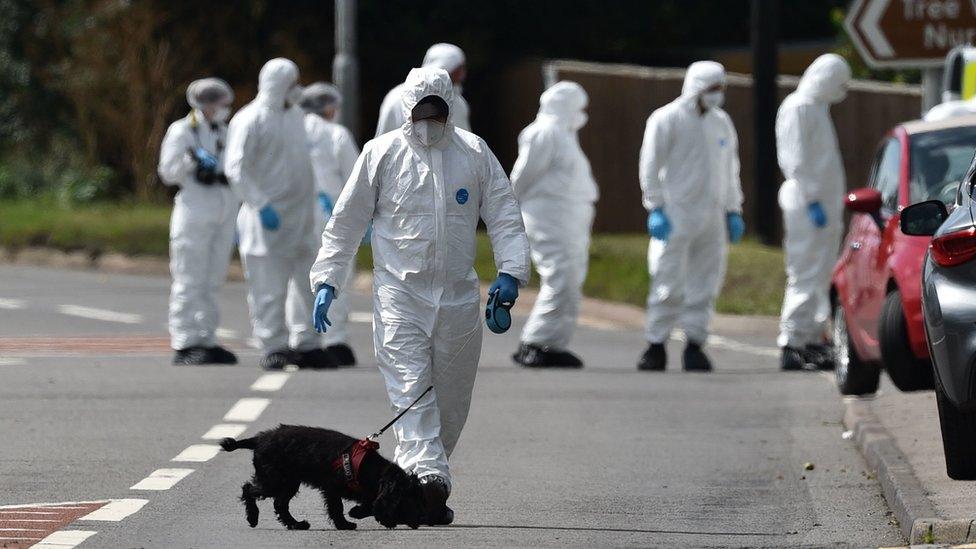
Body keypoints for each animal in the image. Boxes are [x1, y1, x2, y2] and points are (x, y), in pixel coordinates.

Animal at [223, 424, 426, 528]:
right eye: (404, 501)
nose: (416, 523)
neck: (370, 469)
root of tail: (258, 440)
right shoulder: (332, 488)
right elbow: (337, 507)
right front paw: (345, 523)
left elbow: (369, 502)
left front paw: (356, 512)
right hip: (274, 480)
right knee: (249, 489)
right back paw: (253, 517)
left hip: (289, 483)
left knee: (280, 504)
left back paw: (296, 524)